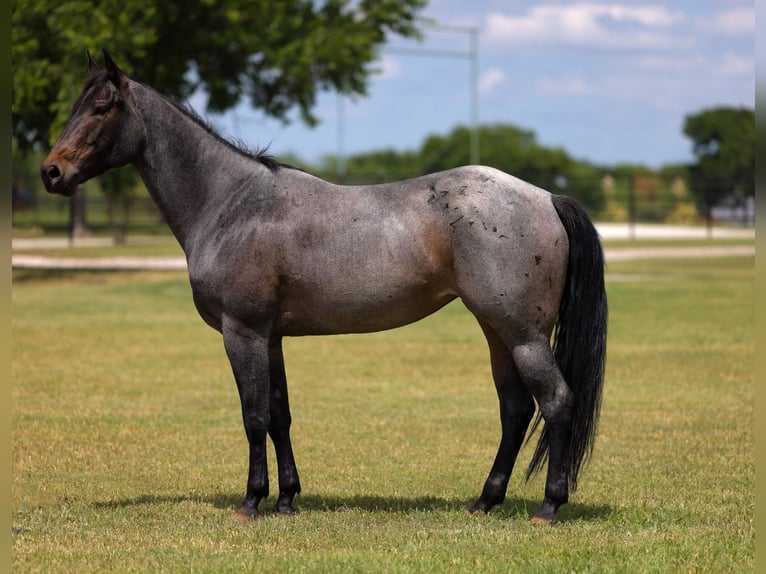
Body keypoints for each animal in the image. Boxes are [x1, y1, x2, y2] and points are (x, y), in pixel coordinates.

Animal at [41, 51, 607, 524]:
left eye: (101, 108)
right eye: (75, 106)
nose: (51, 172)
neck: (232, 203)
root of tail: (545, 197)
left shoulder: (242, 333)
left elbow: (253, 416)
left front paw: (252, 501)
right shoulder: (269, 338)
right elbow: (279, 416)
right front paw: (287, 498)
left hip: (523, 336)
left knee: (556, 402)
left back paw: (548, 507)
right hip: (496, 331)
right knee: (515, 410)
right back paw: (485, 502)